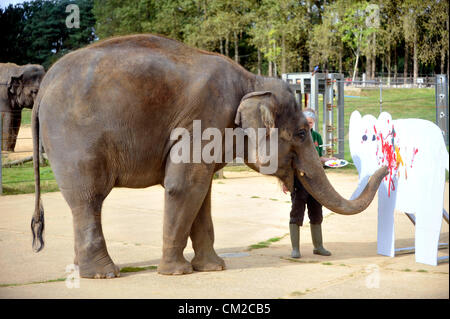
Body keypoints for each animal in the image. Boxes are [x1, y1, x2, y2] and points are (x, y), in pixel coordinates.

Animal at [29, 34, 386, 278]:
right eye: (300, 134)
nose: (384, 166)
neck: (251, 80)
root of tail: (43, 87)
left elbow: (202, 192)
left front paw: (213, 268)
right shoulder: (204, 119)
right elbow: (185, 185)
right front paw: (177, 273)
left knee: (83, 202)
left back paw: (82, 270)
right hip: (75, 140)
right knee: (88, 198)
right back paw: (104, 274)